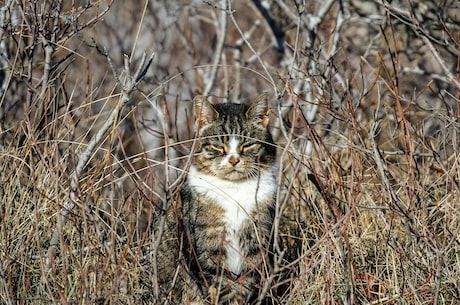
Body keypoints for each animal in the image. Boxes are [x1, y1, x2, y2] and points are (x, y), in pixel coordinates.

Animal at [156, 93, 280, 304]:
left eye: (247, 145)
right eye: (218, 146)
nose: (234, 160)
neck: (235, 190)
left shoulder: (256, 242)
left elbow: (246, 284)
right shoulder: (208, 248)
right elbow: (221, 287)